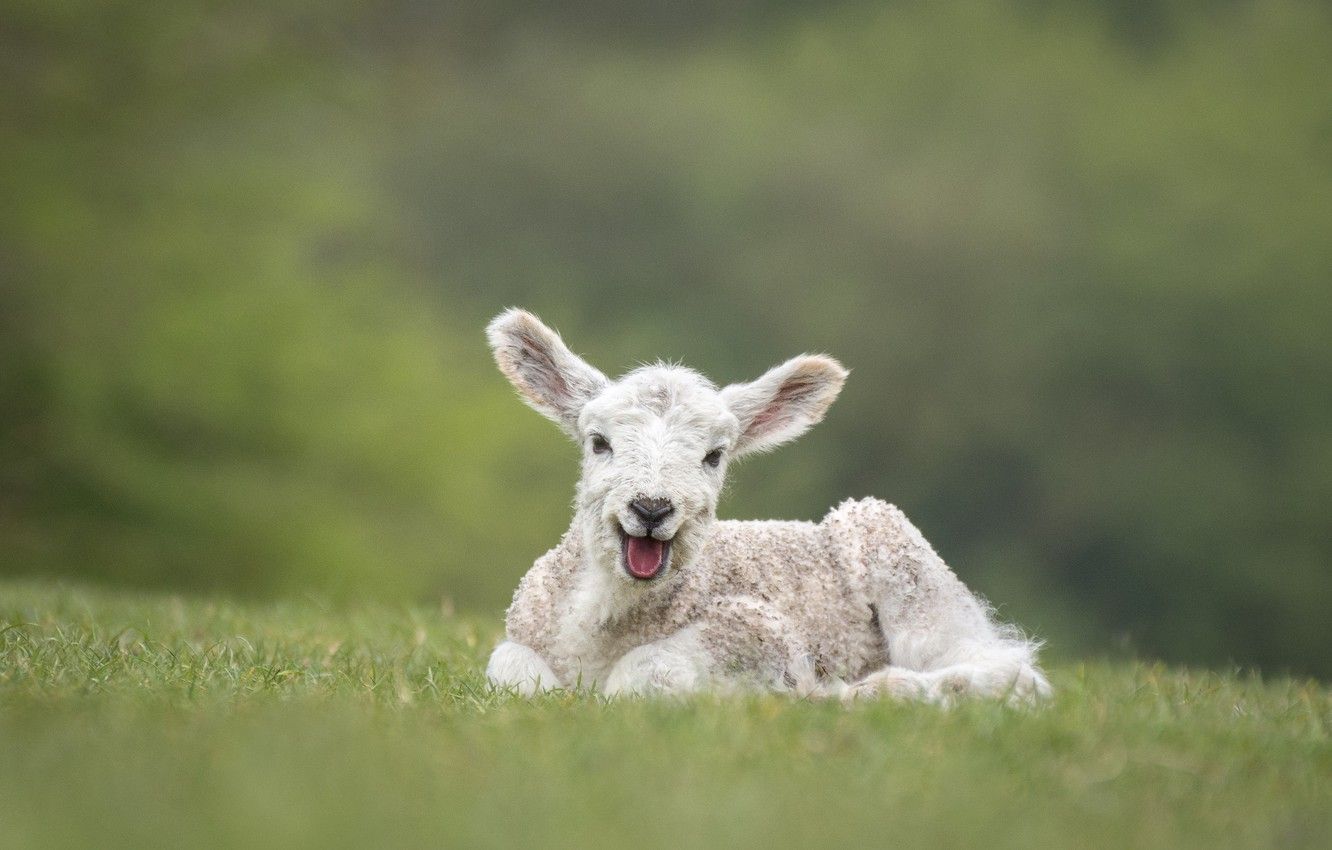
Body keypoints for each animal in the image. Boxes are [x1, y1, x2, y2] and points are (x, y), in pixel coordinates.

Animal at [479, 307, 1049, 703]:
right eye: (598, 443)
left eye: (714, 455)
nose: (651, 508)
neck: (598, 628)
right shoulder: (520, 635)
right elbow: (510, 672)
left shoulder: (755, 628)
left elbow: (642, 674)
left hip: (897, 550)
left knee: (1007, 670)